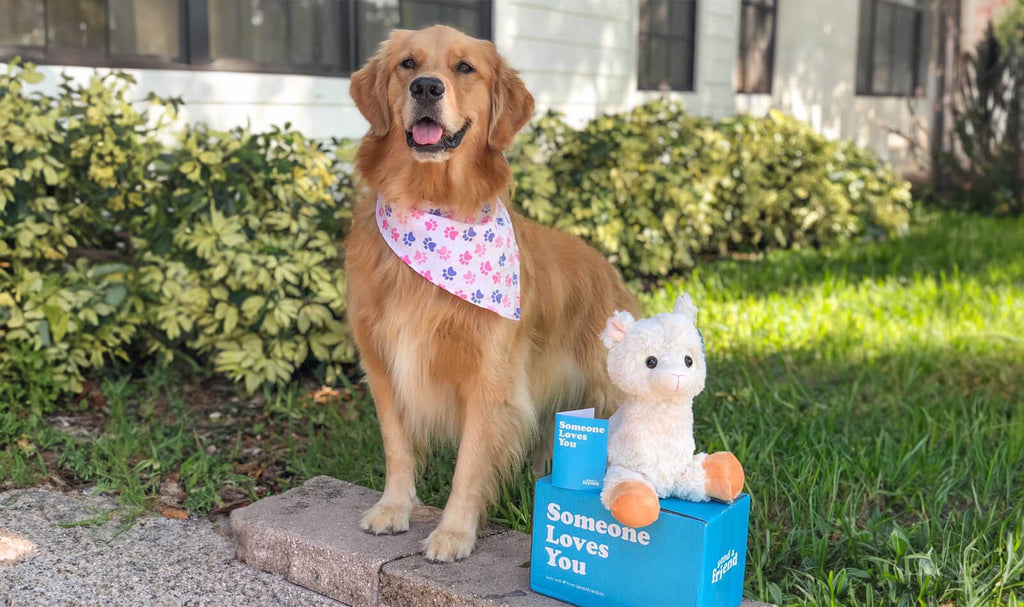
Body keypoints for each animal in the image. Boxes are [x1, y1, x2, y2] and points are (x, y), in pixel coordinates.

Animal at [348, 26, 634, 560]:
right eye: (407, 63)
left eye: (465, 68)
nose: (426, 87)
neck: (432, 204)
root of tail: (609, 268)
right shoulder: (383, 366)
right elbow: (398, 447)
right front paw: (393, 508)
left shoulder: (489, 377)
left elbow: (470, 463)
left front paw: (454, 533)